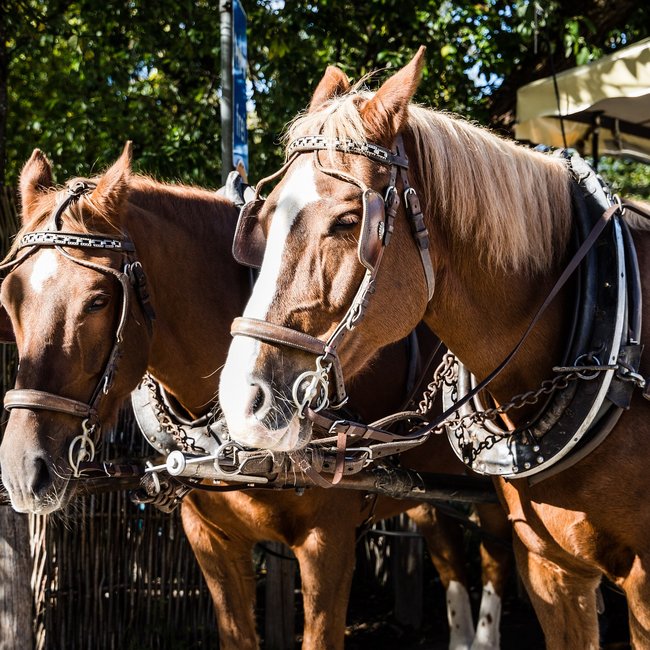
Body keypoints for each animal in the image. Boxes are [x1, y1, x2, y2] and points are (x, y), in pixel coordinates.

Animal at [0, 145, 510, 650]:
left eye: (99, 300)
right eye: (9, 300)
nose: (24, 470)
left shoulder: (328, 541)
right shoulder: (211, 540)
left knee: (497, 552)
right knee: (447, 549)